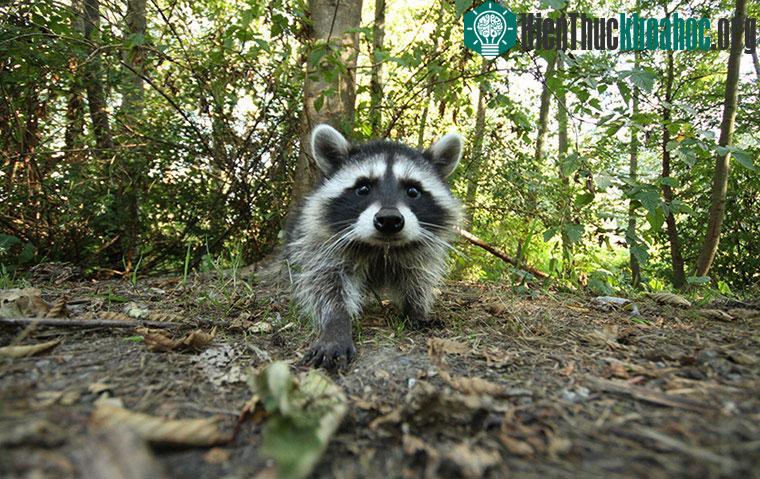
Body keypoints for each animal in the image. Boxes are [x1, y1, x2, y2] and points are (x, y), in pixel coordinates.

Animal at [284, 124, 464, 369]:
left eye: (413, 191)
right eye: (363, 188)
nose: (389, 220)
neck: (380, 248)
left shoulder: (421, 252)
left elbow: (417, 279)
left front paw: (416, 310)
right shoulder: (324, 244)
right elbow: (325, 285)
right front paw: (336, 323)